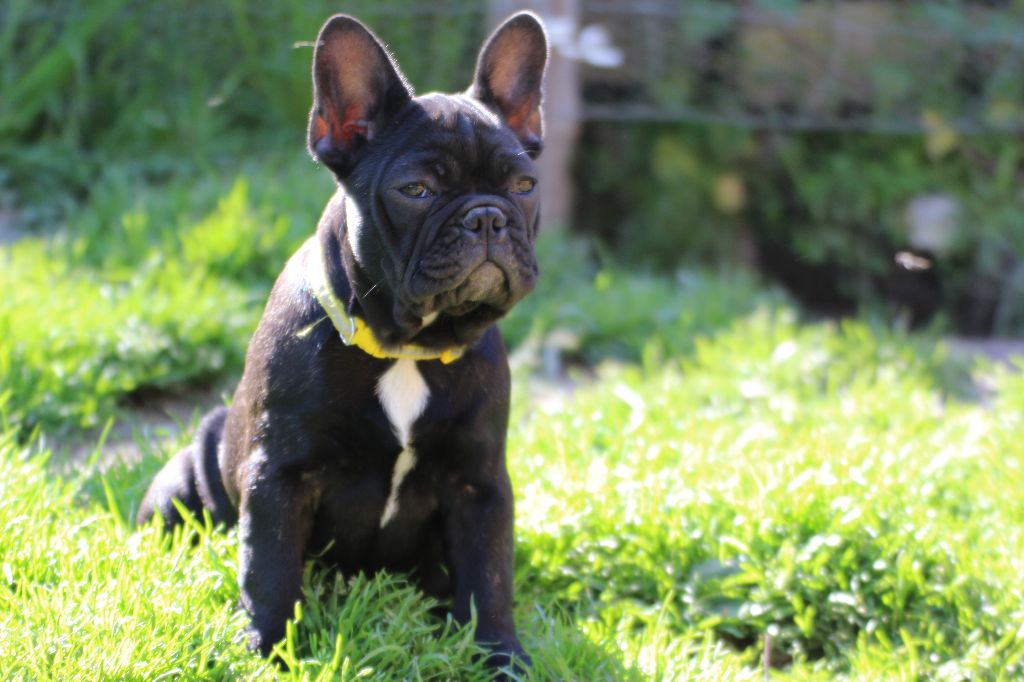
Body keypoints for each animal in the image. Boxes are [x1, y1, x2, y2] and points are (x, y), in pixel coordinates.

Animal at [140, 10, 548, 667]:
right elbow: (269, 570)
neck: (409, 345)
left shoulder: (480, 482)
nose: (486, 216)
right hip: (183, 480)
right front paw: (269, 653)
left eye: (524, 184)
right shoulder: (280, 476)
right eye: (417, 191)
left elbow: (489, 577)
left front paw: (500, 658)